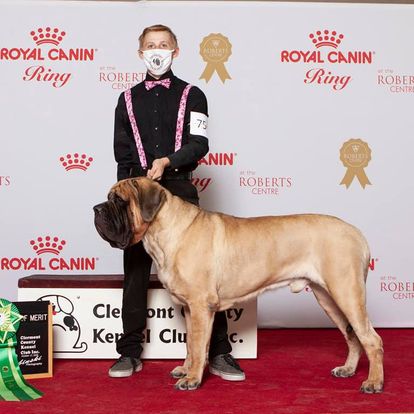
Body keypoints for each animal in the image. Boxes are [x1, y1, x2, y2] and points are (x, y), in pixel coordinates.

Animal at [93, 177, 384, 393]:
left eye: (118, 200)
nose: (97, 208)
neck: (164, 233)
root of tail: (357, 233)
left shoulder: (200, 306)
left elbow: (197, 344)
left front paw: (192, 379)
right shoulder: (190, 308)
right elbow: (191, 344)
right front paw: (187, 369)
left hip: (346, 292)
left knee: (372, 339)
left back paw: (373, 382)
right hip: (328, 297)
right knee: (352, 336)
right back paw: (348, 369)